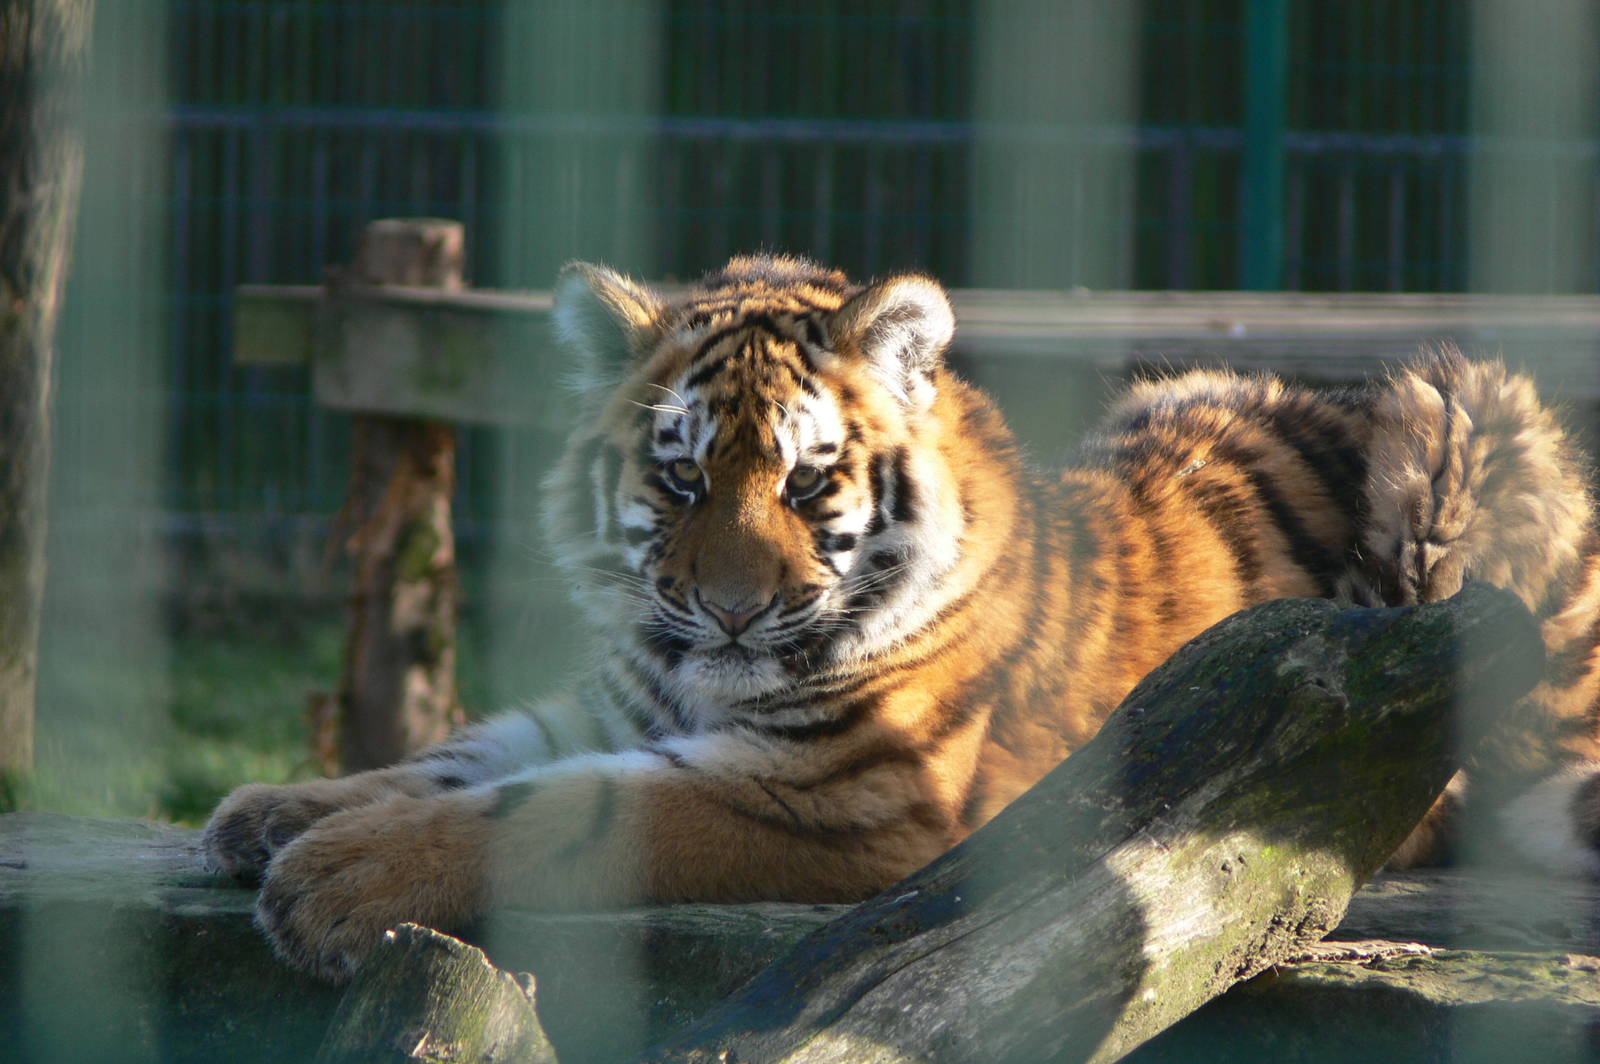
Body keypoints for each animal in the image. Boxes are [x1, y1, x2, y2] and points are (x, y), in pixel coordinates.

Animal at [203, 255, 1600, 981]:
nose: (729, 611)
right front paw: (273, 811)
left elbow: (567, 808)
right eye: (680, 477)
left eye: (804, 480)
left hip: (1462, 420)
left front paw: (333, 878)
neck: (690, 675)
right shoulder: (614, 699)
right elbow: (466, 751)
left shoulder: (845, 796)